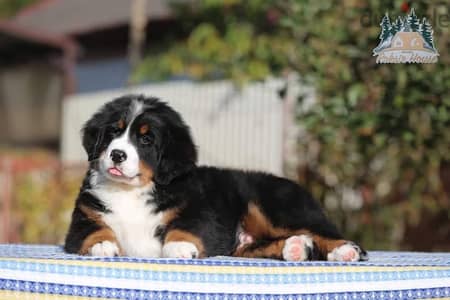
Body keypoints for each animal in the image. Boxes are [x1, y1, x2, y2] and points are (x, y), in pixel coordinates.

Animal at [64, 95, 366, 262]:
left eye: (146, 139)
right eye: (113, 132)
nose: (117, 155)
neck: (132, 190)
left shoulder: (198, 211)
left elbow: (185, 227)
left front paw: (180, 246)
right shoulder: (84, 217)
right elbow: (93, 230)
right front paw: (102, 244)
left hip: (277, 207)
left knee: (324, 233)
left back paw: (344, 251)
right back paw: (295, 247)